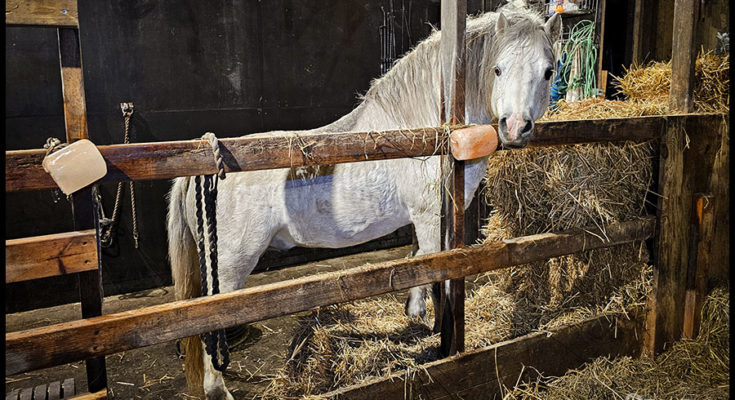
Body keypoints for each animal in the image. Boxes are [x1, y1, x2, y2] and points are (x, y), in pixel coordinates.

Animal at [168, 5, 560, 399]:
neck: (420, 133)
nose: (515, 128)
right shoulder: (431, 218)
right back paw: (218, 389)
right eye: (498, 68)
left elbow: (418, 260)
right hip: (230, 266)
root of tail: (199, 165)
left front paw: (414, 312)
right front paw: (437, 334)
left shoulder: (429, 219)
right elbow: (435, 271)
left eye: (548, 71)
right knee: (210, 320)